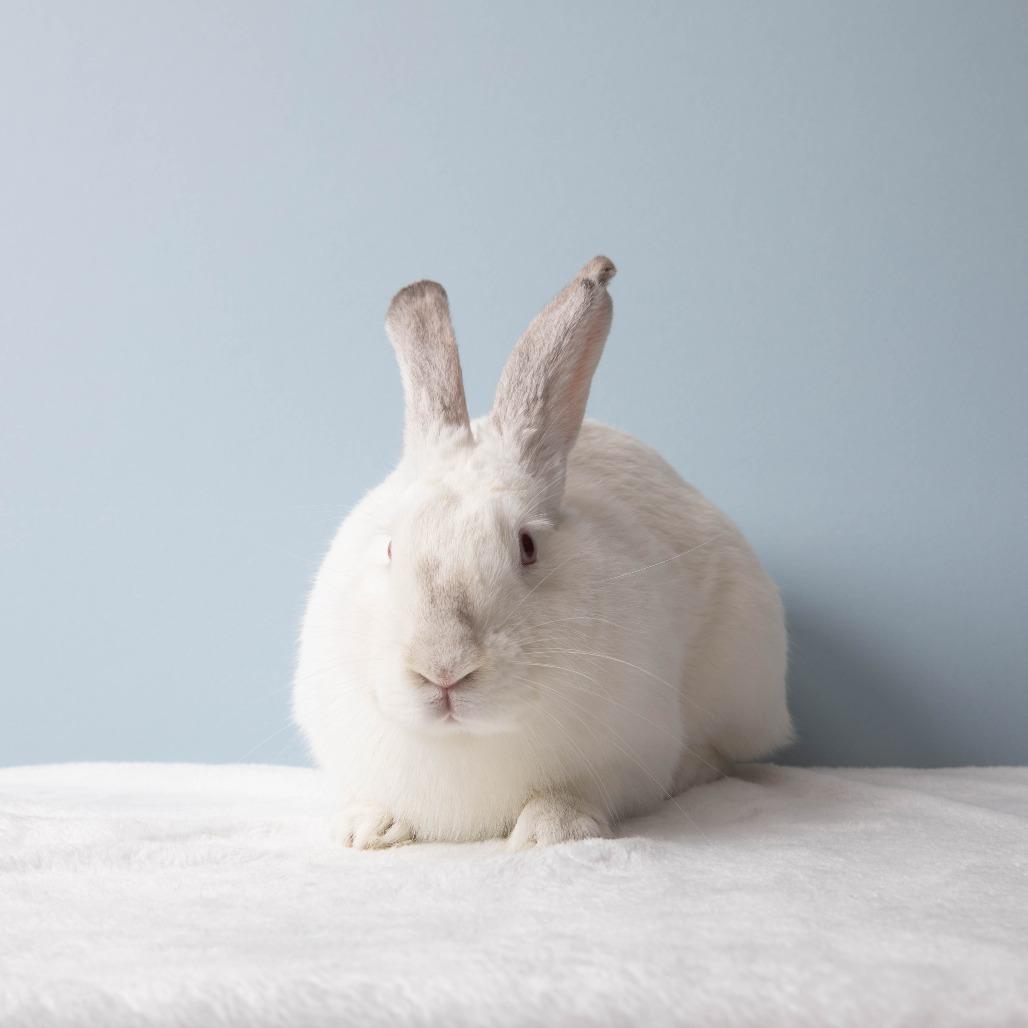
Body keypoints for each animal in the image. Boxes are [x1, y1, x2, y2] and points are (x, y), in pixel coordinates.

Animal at [293, 256, 791, 850]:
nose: (444, 669)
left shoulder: (628, 759)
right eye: (391, 546)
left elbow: (578, 792)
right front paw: (366, 829)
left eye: (527, 546)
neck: (465, 742)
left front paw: (551, 830)